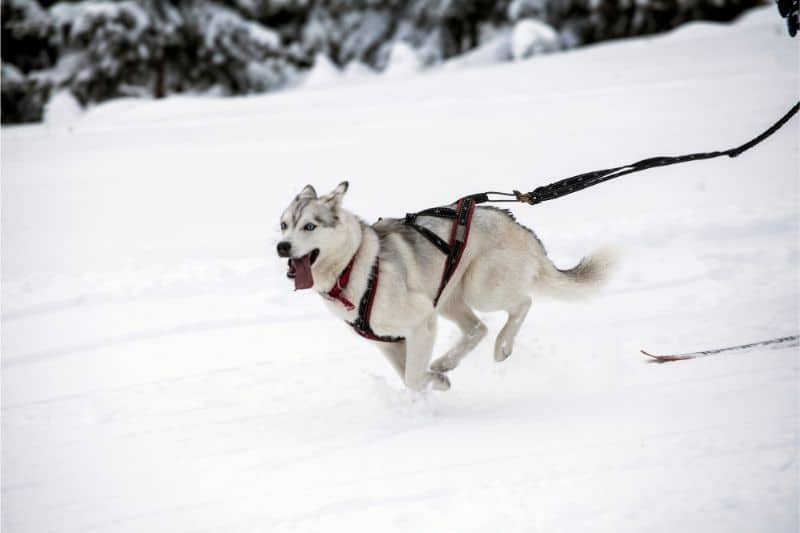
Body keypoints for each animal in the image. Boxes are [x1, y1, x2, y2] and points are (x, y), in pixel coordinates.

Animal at [278, 181, 616, 388]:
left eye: (309, 226)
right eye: (283, 225)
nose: (282, 247)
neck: (352, 264)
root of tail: (519, 227)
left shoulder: (422, 323)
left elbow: (413, 377)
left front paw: (434, 382)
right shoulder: (387, 341)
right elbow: (407, 375)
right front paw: (435, 381)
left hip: (480, 288)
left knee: (522, 304)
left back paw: (500, 347)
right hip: (448, 297)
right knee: (478, 328)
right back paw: (445, 363)